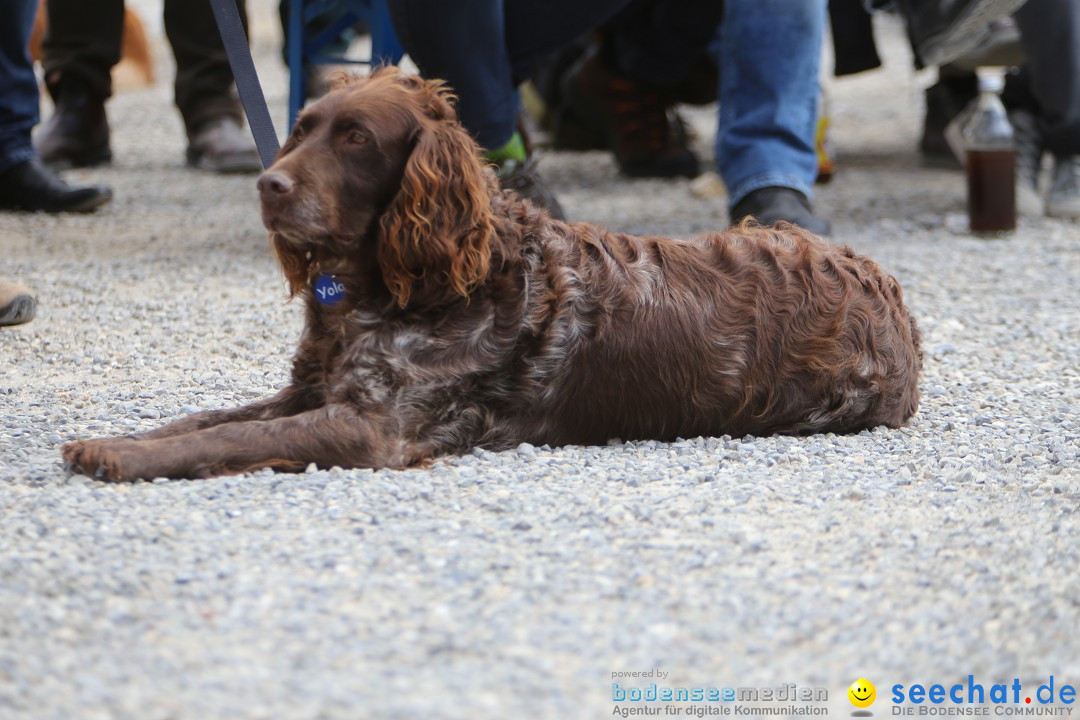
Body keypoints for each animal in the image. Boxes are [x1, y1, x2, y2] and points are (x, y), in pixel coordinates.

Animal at [61, 67, 920, 481]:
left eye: (356, 138)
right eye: (301, 130)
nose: (267, 185)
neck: (406, 284)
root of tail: (889, 290)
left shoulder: (375, 424)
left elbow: (234, 439)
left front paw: (118, 459)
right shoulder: (315, 390)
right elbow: (204, 421)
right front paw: (120, 438)